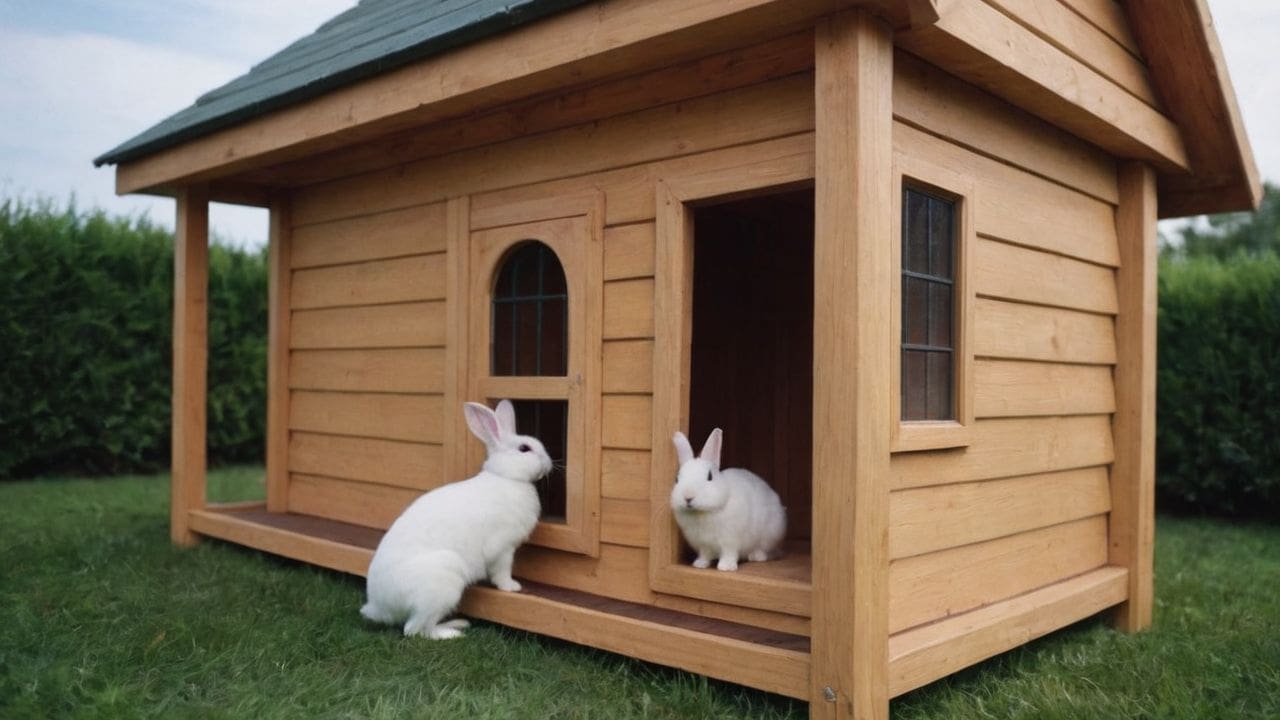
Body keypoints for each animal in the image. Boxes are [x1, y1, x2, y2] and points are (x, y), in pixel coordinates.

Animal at [358, 397, 547, 638]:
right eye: (524, 448)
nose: (547, 463)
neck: (507, 478)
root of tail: (379, 605)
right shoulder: (502, 548)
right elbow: (502, 571)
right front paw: (512, 587)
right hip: (441, 586)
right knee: (415, 630)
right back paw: (452, 632)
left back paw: (457, 624)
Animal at [675, 425, 783, 571]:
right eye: (677, 479)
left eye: (709, 477)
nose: (688, 497)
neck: (704, 512)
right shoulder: (702, 545)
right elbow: (705, 554)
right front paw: (700, 565)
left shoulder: (730, 541)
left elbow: (729, 554)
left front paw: (725, 567)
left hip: (769, 535)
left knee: (764, 550)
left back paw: (756, 556)